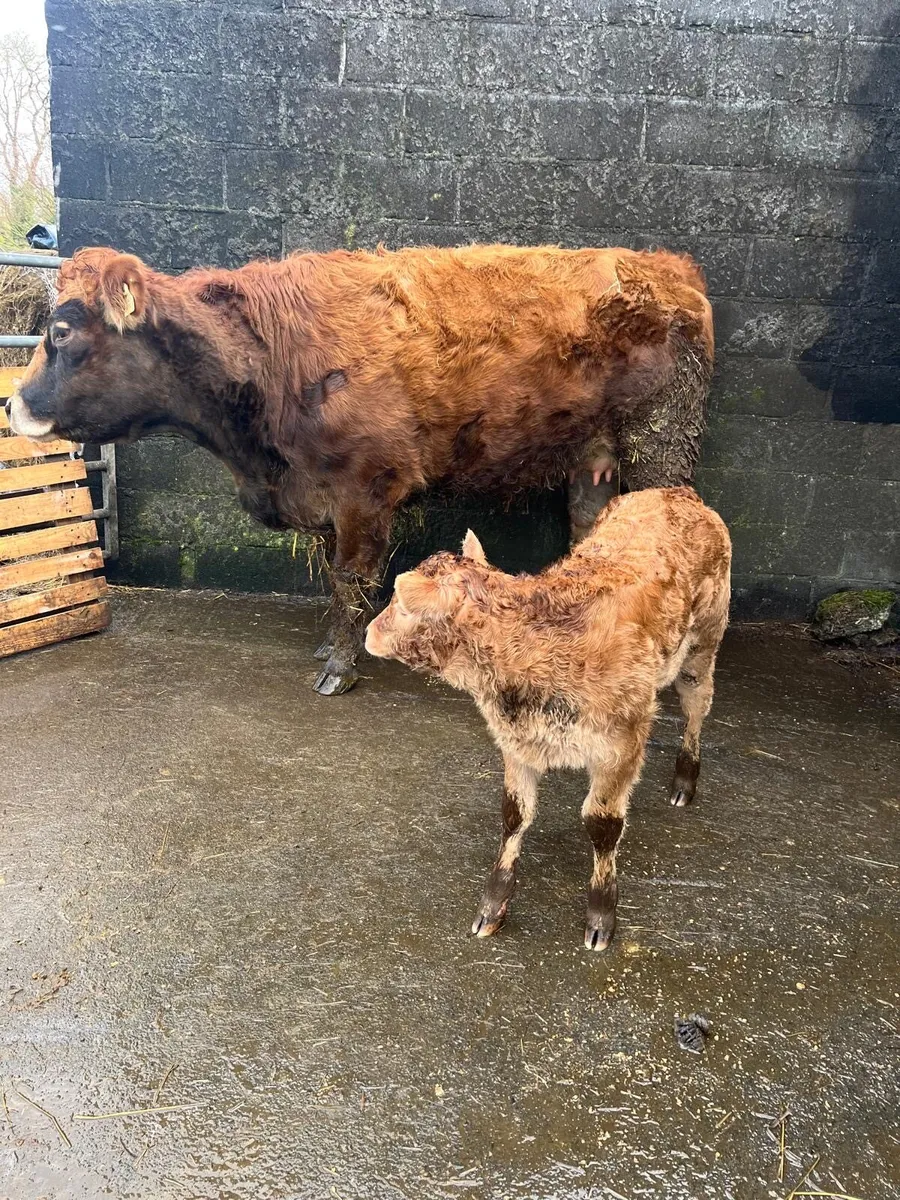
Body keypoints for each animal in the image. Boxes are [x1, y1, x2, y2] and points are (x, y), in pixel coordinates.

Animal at [7, 243, 713, 695]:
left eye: (62, 332)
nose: (13, 404)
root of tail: (668, 270)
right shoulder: (322, 498)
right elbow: (332, 579)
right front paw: (330, 646)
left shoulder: (364, 491)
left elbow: (352, 579)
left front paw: (340, 669)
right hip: (594, 457)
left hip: (660, 441)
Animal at [365, 487, 731, 950]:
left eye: (400, 603)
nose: (369, 631)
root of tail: (675, 492)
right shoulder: (517, 741)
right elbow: (514, 815)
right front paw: (493, 907)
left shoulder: (622, 744)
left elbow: (602, 824)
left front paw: (601, 916)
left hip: (704, 642)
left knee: (697, 704)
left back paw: (685, 780)